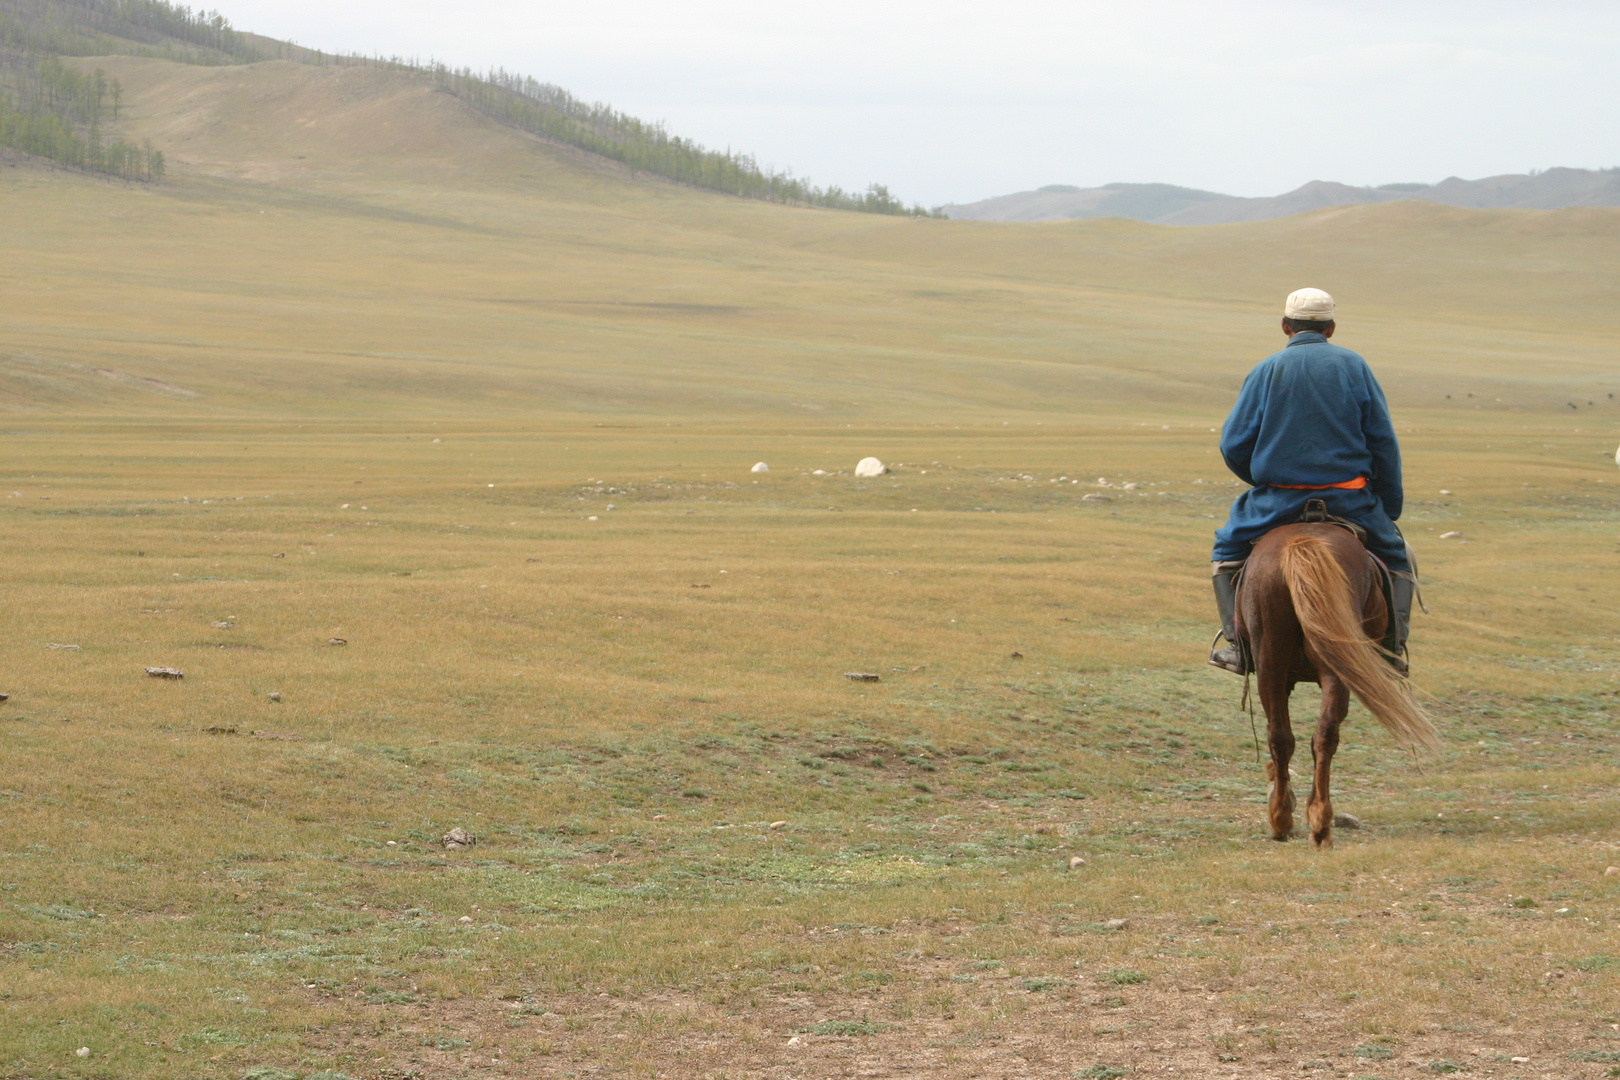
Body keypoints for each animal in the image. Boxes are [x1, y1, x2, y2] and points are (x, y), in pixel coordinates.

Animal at [1231, 521, 1438, 841]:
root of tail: (1304, 541)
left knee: (1293, 735)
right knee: (1312, 735)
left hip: (1275, 664)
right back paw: (1306, 817)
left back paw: (1292, 818)